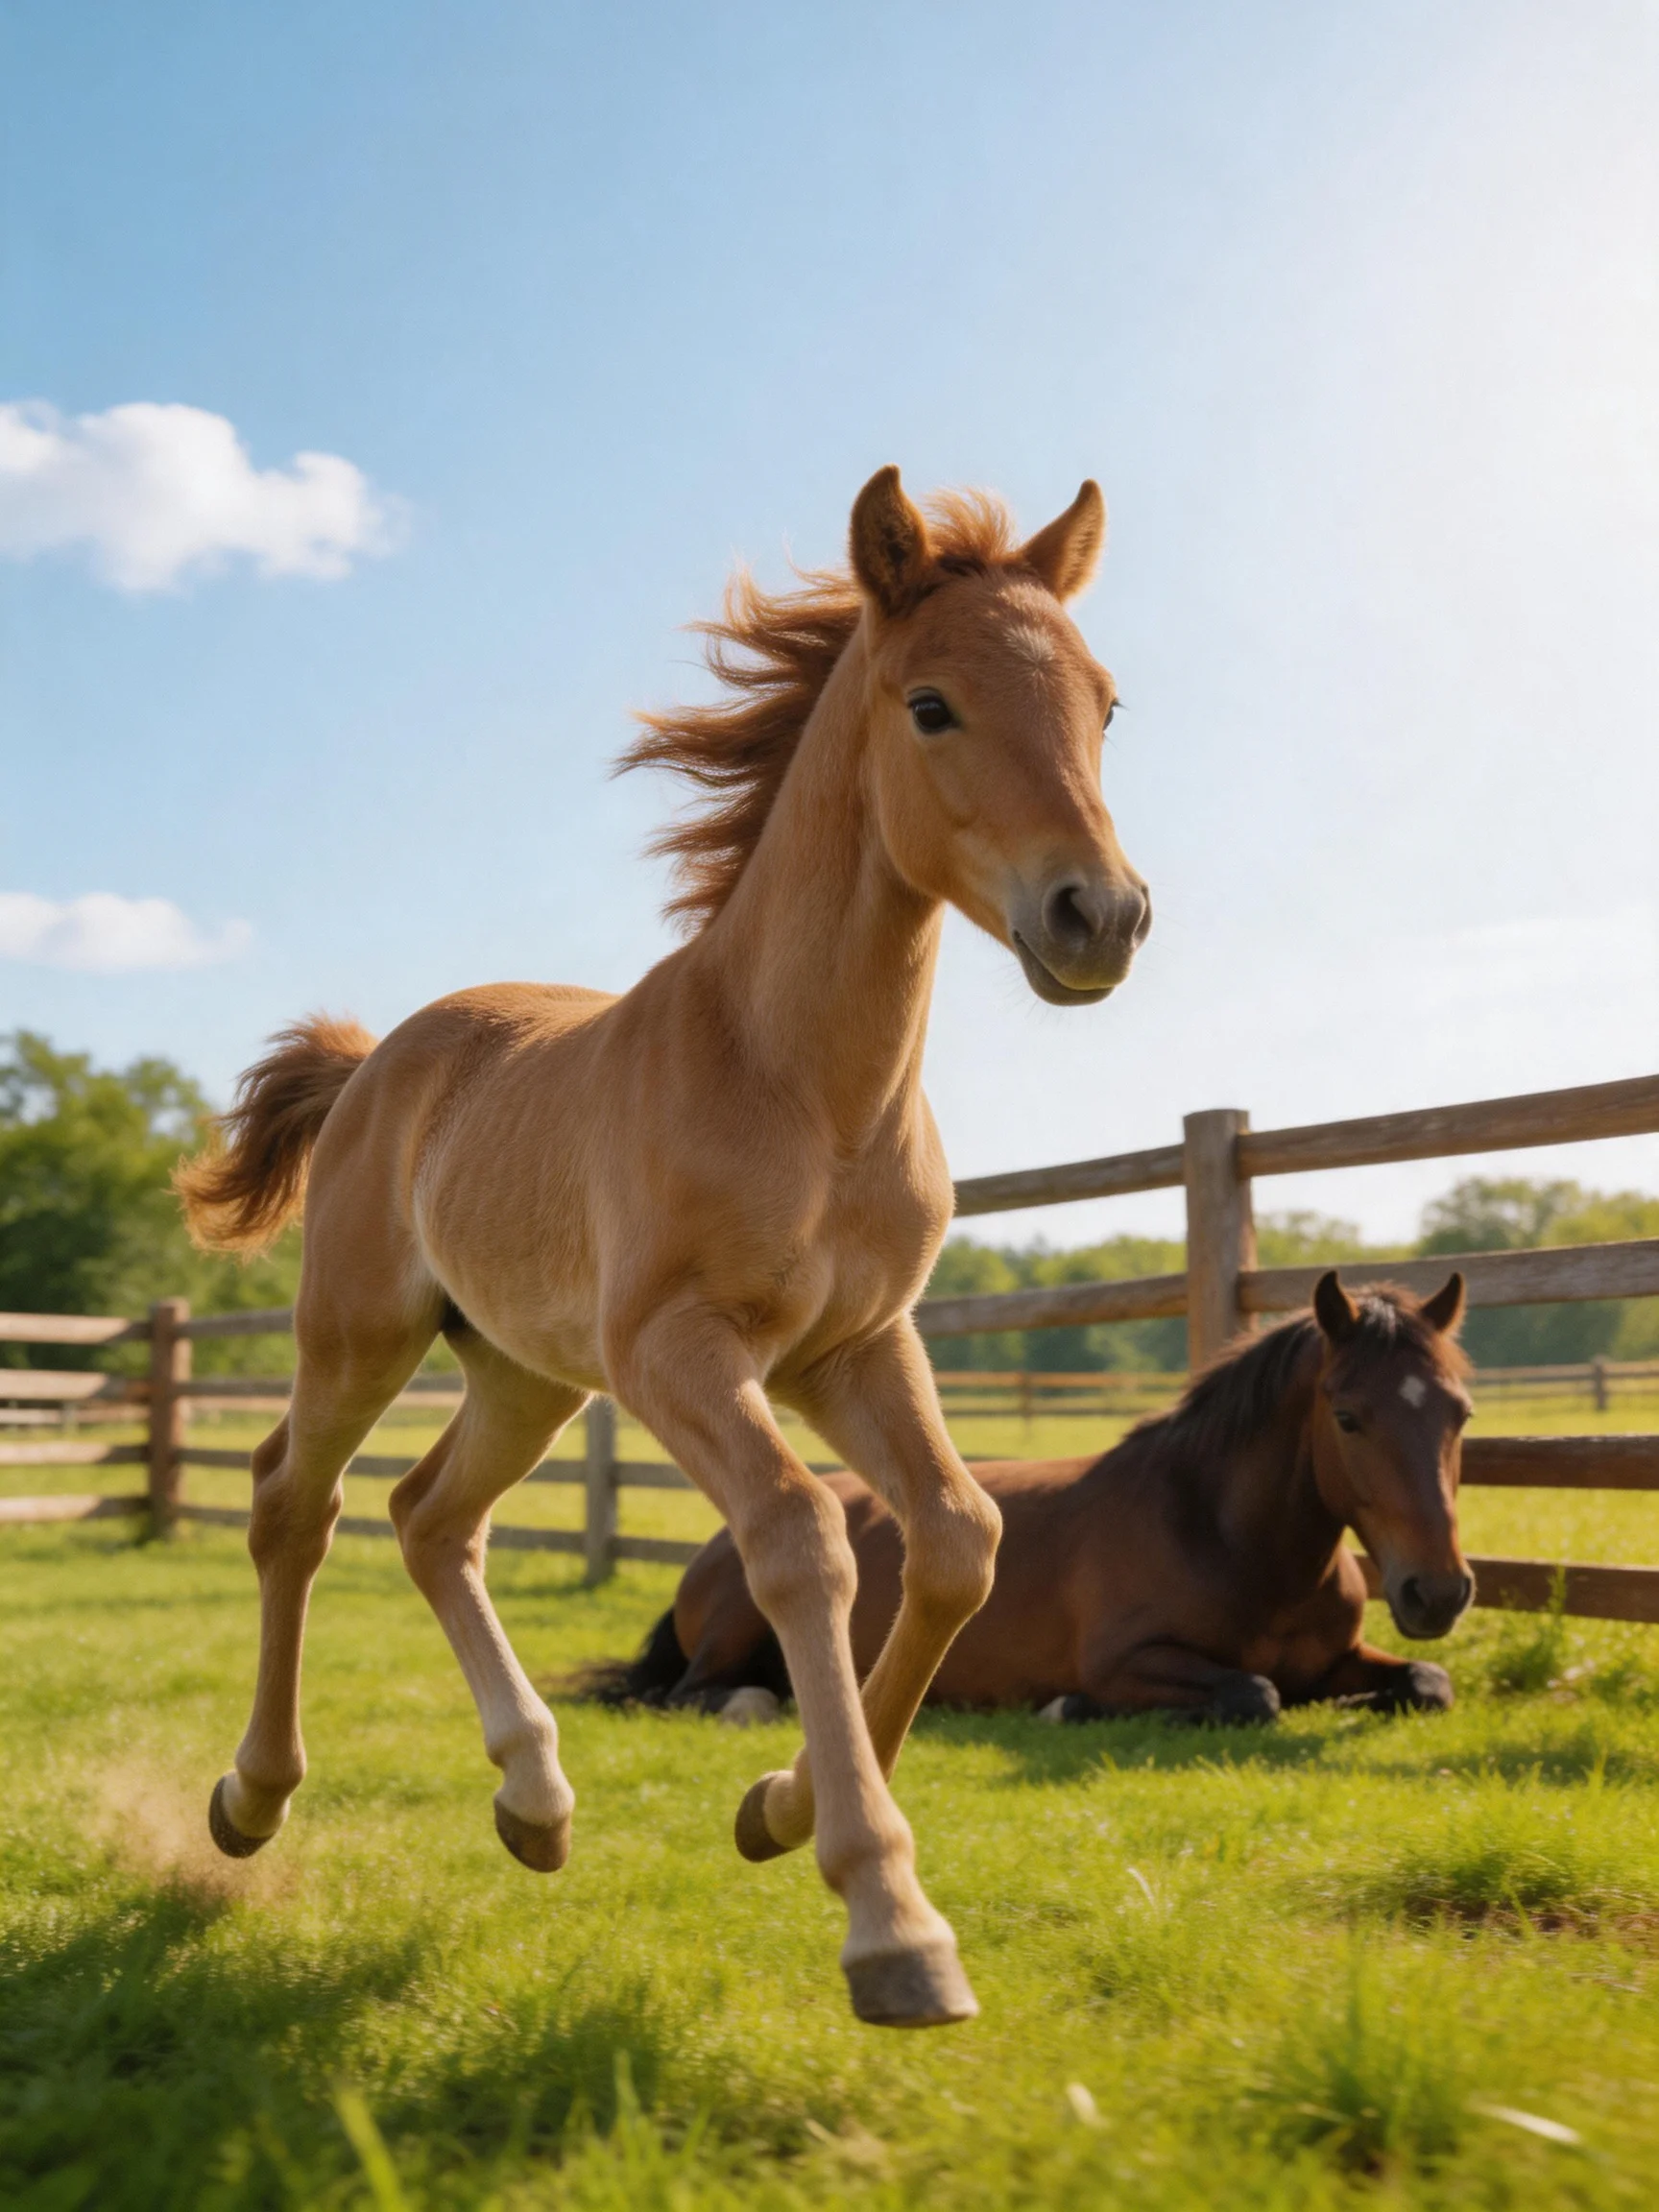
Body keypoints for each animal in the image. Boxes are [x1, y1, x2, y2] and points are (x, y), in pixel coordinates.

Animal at [177, 467, 1151, 2029]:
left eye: (1106, 704)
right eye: (931, 705)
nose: (1098, 916)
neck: (800, 1086)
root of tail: (377, 1054)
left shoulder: (854, 1348)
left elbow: (957, 1539)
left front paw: (776, 1809)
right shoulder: (679, 1352)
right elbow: (804, 1539)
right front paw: (890, 1922)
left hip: (524, 1373)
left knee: (431, 1518)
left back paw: (535, 1801)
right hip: (365, 1336)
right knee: (293, 1504)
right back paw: (252, 1799)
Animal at [610, 1273, 1475, 1727]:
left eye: (1460, 1412)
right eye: (1348, 1416)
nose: (1436, 1591)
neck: (1226, 1539)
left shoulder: (1343, 1658)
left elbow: (1429, 1684)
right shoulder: (1130, 1660)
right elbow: (1253, 1693)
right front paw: (1069, 1706)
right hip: (733, 1636)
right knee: (699, 1695)